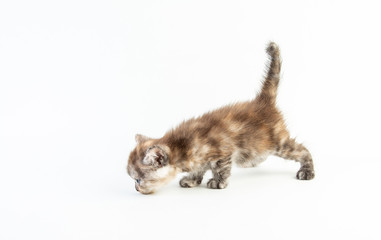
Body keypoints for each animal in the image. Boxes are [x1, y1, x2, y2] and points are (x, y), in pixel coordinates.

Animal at [126, 42, 314, 194]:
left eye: (138, 180)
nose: (136, 189)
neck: (181, 146)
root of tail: (262, 102)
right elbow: (198, 169)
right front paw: (192, 180)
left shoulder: (223, 151)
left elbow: (220, 169)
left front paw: (218, 182)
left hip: (278, 143)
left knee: (302, 150)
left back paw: (307, 171)